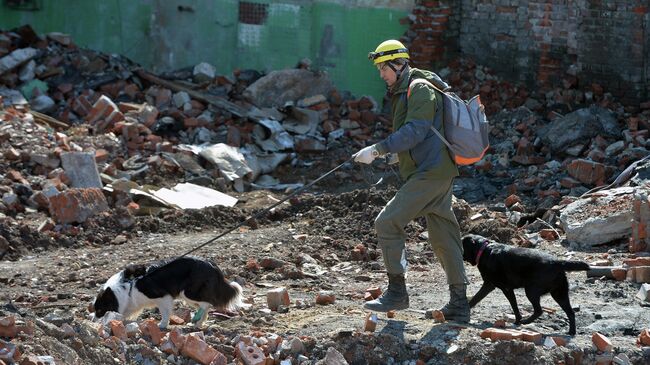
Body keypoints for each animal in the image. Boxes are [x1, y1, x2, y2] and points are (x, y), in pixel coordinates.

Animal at [460, 233, 588, 332]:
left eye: (461, 245)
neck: (484, 250)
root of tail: (557, 262)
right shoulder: (501, 288)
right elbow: (514, 306)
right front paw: (517, 320)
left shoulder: (498, 287)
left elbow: (475, 299)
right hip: (559, 294)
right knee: (570, 312)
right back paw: (571, 332)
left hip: (531, 291)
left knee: (539, 310)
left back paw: (526, 322)